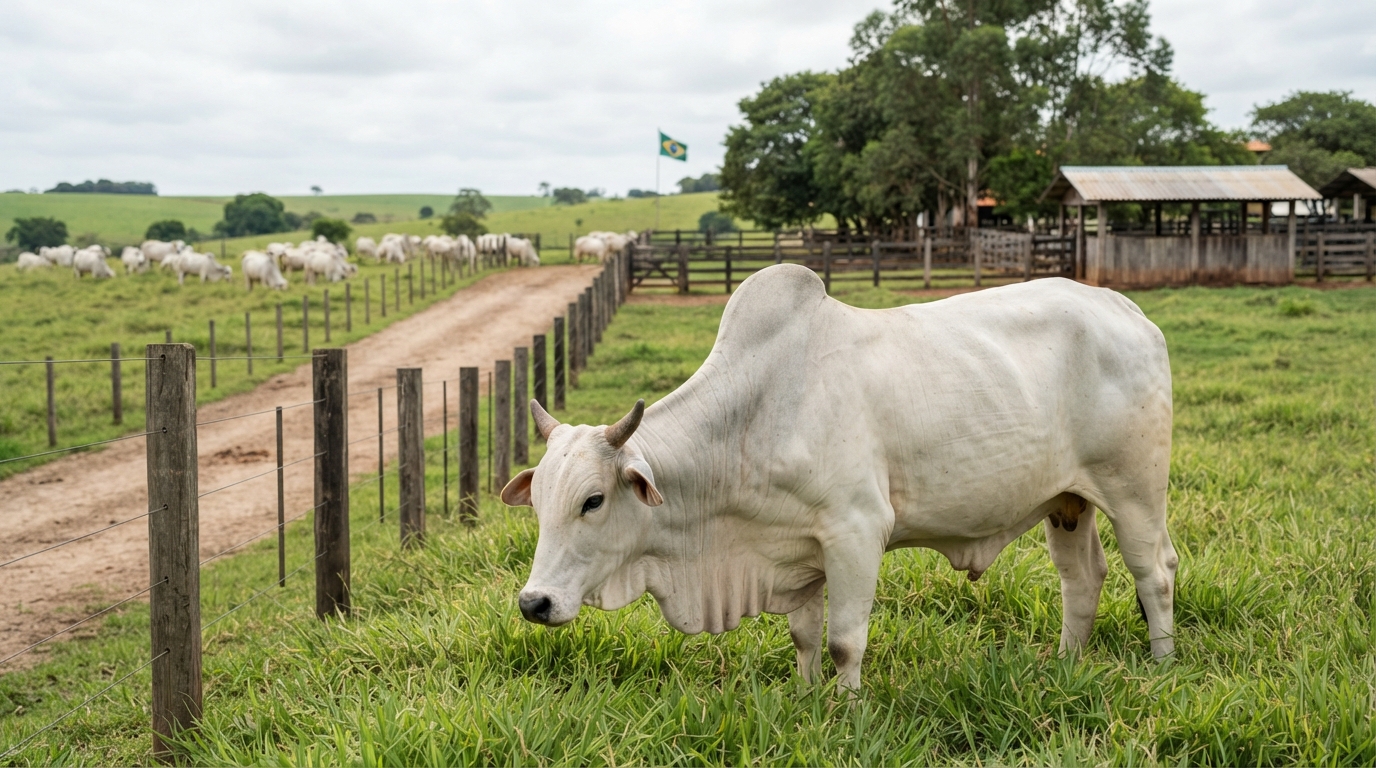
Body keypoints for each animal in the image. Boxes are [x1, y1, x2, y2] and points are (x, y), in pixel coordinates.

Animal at [501, 265, 1177, 691]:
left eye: (592, 501)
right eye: (538, 503)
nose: (534, 603)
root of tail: (1126, 308)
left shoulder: (856, 533)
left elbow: (844, 642)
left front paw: (848, 710)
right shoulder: (796, 550)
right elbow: (804, 638)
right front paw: (805, 699)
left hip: (1135, 491)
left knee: (1155, 572)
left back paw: (1161, 664)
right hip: (1068, 501)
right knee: (1082, 578)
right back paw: (1066, 664)